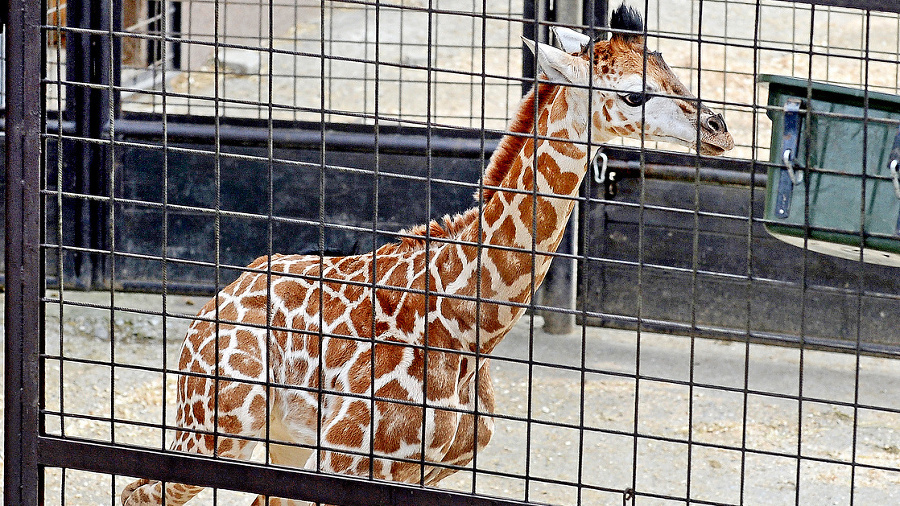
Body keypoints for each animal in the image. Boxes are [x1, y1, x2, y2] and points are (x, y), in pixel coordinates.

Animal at [125, 4, 732, 506]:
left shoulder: (418, 472)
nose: (719, 129)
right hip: (216, 427)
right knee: (140, 491)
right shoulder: (349, 460)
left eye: (670, 67)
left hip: (282, 444)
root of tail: (214, 302)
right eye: (633, 94)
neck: (469, 324)